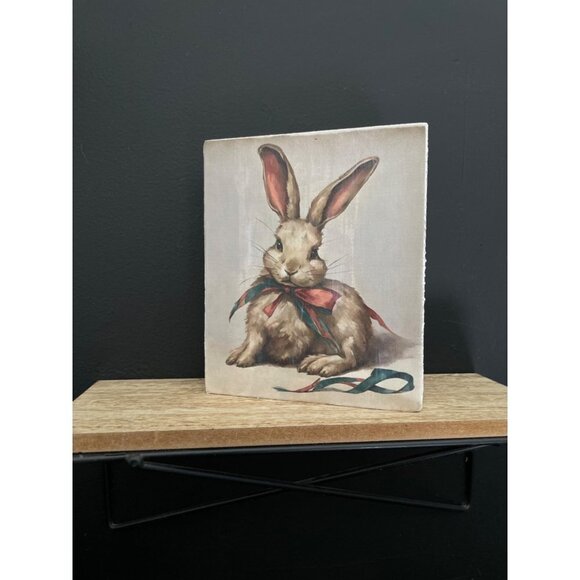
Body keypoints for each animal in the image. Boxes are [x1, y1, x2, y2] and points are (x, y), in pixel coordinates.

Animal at [226, 143, 381, 378]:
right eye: (278, 244)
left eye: (314, 252)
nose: (291, 269)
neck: (287, 293)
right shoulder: (256, 327)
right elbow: (252, 342)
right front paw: (241, 358)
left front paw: (245, 361)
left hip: (349, 331)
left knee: (350, 357)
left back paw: (319, 364)